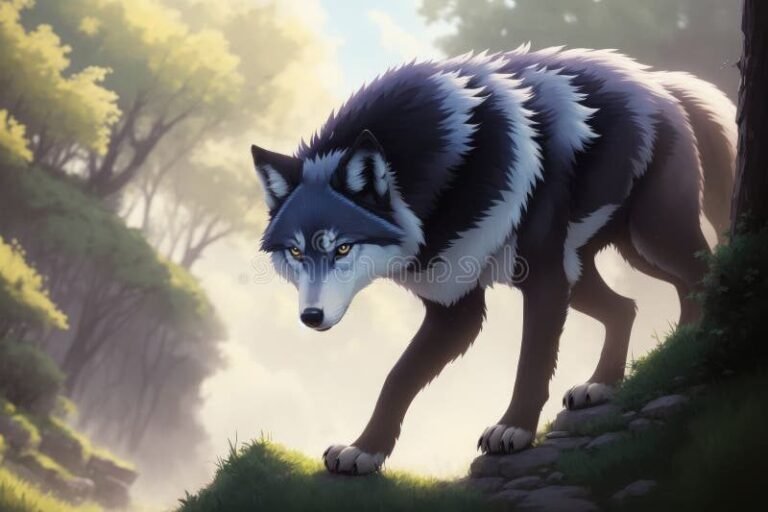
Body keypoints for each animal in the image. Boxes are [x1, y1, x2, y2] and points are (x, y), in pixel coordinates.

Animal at [250, 45, 736, 475]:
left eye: (342, 248)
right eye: (296, 251)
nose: (311, 318)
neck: (437, 182)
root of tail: (660, 82)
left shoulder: (542, 282)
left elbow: (531, 361)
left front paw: (514, 429)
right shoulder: (454, 306)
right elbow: (398, 378)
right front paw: (365, 450)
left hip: (649, 240)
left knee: (699, 273)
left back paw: (687, 343)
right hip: (592, 269)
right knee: (628, 307)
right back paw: (603, 383)